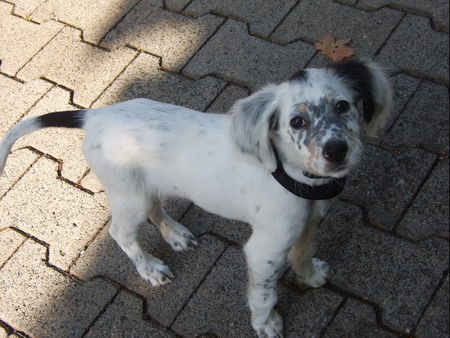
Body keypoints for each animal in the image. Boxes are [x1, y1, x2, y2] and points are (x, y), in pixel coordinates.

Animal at [0, 59, 390, 336]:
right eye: (296, 122)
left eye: (343, 106)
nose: (336, 151)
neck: (295, 179)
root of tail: (96, 116)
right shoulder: (264, 250)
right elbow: (265, 293)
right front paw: (266, 323)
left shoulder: (308, 222)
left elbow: (304, 253)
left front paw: (309, 276)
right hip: (129, 195)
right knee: (120, 233)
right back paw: (150, 268)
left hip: (146, 186)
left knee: (156, 209)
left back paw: (175, 235)